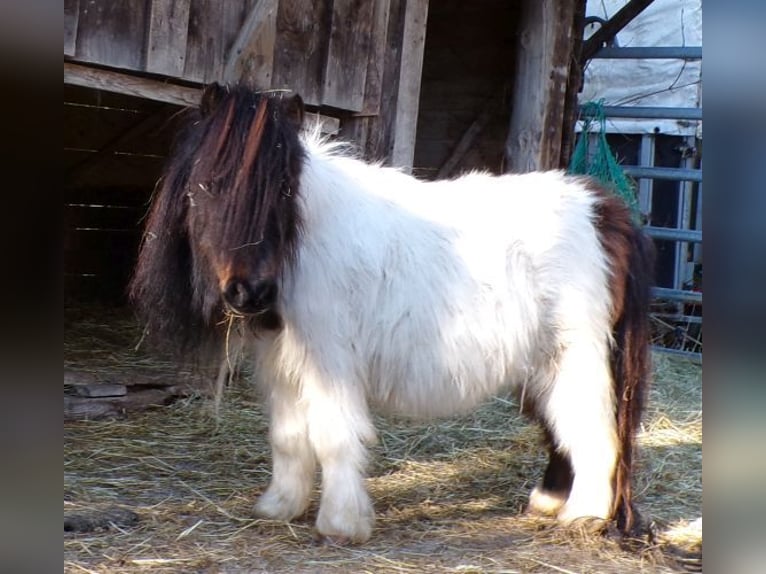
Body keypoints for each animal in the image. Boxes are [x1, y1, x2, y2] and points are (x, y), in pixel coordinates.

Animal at [130, 83, 654, 544]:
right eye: (209, 185)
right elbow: (288, 437)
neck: (305, 241)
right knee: (561, 427)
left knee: (594, 431)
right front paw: (279, 507)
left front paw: (341, 523)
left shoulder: (330, 361)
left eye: (283, 192)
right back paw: (549, 501)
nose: (250, 292)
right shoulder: (282, 364)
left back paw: (583, 516)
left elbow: (333, 436)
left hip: (575, 356)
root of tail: (602, 209)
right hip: (543, 361)